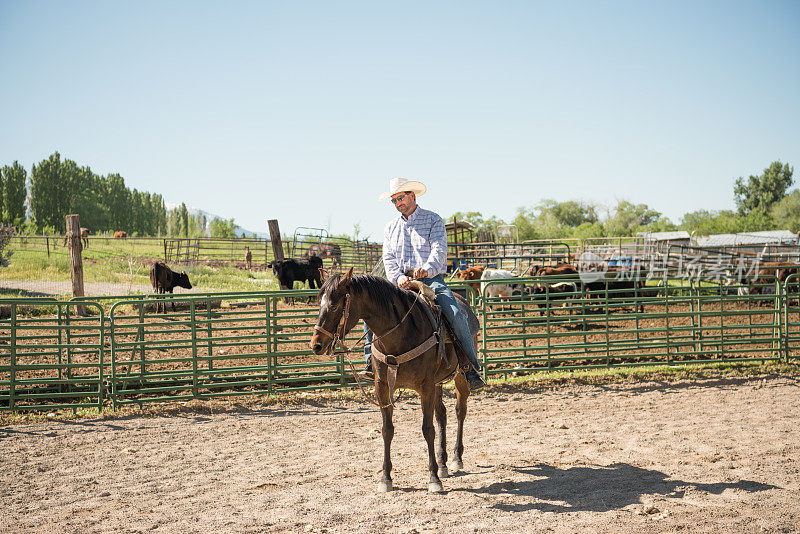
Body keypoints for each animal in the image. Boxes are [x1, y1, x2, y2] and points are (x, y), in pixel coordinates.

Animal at [310, 270, 478, 496]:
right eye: (319, 303)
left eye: (335, 305)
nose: (316, 345)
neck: (401, 333)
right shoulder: (382, 387)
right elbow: (387, 430)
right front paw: (385, 478)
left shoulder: (425, 386)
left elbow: (428, 429)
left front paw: (433, 479)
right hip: (437, 382)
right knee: (441, 414)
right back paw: (443, 464)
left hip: (459, 376)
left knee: (460, 410)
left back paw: (456, 458)